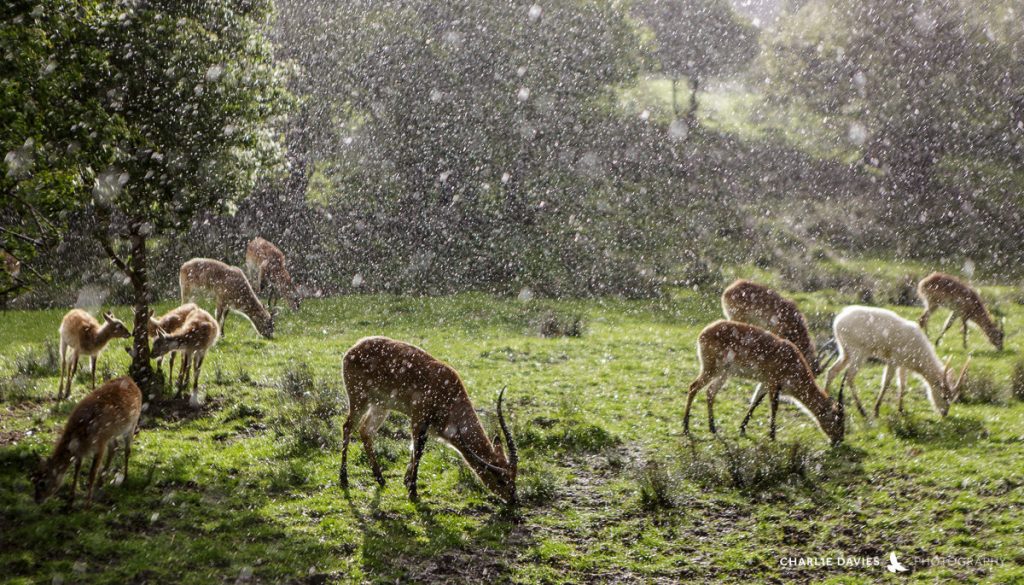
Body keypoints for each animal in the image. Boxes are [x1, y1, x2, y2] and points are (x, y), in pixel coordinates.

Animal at [31, 374, 142, 508]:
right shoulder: (82, 451)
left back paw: (125, 478)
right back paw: (101, 482)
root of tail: (130, 380)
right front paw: (70, 500)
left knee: (127, 450)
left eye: (42, 482)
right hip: (112, 434)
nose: (37, 500)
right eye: (33, 479)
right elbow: (76, 470)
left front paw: (87, 504)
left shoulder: (100, 443)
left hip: (132, 424)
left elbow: (91, 473)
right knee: (114, 447)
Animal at [342, 336, 520, 506]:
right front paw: (413, 491)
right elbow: (418, 450)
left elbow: (413, 449)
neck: (449, 396)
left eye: (514, 476)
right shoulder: (418, 418)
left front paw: (407, 482)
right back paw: (343, 478)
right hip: (359, 399)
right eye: (501, 479)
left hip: (381, 406)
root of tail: (353, 348)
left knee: (365, 430)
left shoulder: (425, 426)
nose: (514, 500)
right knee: (347, 426)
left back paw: (380, 479)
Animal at [684, 319, 843, 444]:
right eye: (837, 420)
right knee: (693, 387)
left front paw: (742, 428)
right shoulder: (773, 382)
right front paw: (772, 436)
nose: (839, 440)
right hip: (711, 369)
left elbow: (755, 402)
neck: (794, 365)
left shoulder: (765, 383)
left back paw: (712, 428)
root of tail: (704, 332)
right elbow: (774, 406)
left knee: (710, 391)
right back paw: (686, 427)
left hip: (724, 373)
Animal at [823, 307, 966, 422]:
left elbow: (902, 384)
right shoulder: (893, 360)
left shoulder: (903, 364)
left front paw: (901, 410)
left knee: (831, 371)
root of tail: (837, 321)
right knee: (850, 376)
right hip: (859, 352)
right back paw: (862, 411)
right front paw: (876, 411)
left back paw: (826, 398)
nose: (945, 413)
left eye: (953, 397)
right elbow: (886, 382)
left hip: (844, 351)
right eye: (944, 396)